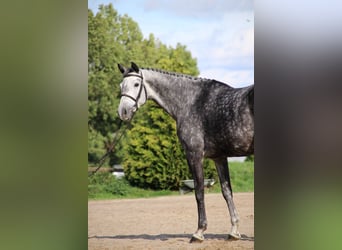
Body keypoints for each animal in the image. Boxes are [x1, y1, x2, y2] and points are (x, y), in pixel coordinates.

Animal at [117, 61, 254, 242]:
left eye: (136, 84)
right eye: (121, 86)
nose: (123, 112)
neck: (191, 102)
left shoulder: (194, 154)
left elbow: (199, 191)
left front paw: (199, 232)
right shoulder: (219, 157)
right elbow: (227, 192)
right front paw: (234, 231)